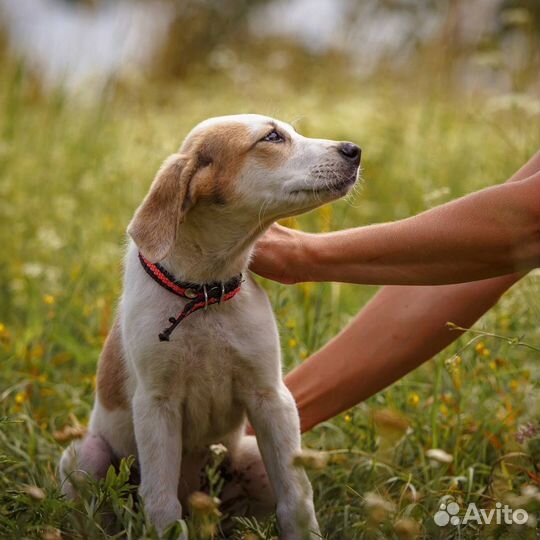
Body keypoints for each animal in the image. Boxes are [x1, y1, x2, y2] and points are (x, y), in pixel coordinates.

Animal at [59, 112, 360, 536]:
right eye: (272, 137)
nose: (354, 149)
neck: (205, 294)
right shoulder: (156, 404)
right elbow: (162, 503)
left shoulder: (272, 397)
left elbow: (297, 498)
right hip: (86, 453)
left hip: (249, 454)